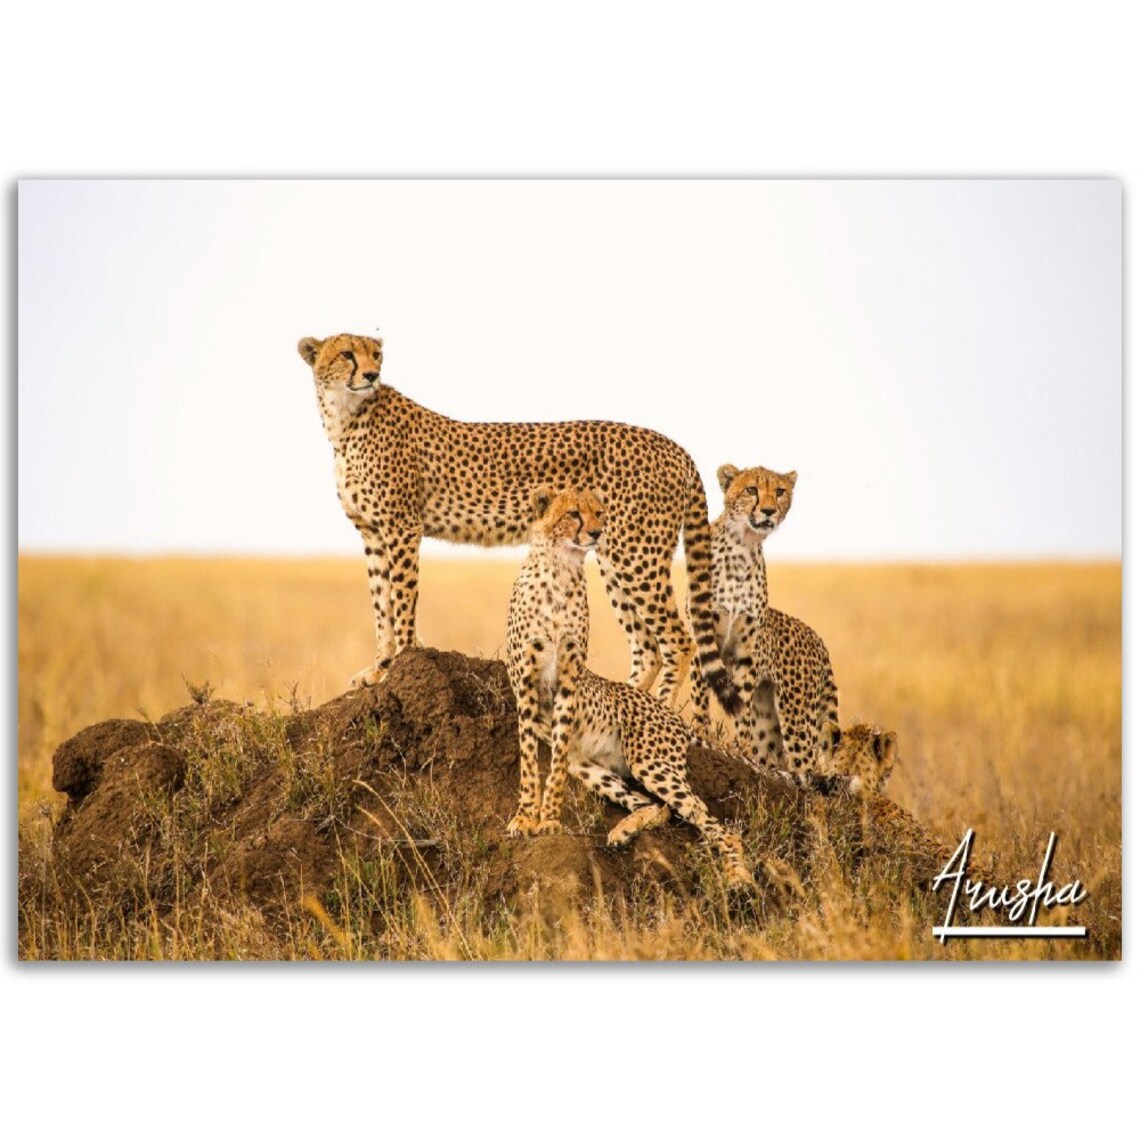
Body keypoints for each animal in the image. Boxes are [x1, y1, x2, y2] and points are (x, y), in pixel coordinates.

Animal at [297, 333, 739, 715]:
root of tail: (674, 446)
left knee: (679, 640)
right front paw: (379, 668)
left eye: (376, 355)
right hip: (612, 553)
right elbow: (381, 604)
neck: (345, 418)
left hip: (635, 555)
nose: (372, 375)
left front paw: (400, 662)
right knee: (647, 647)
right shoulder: (372, 532)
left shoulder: (401, 526)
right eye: (347, 354)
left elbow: (402, 600)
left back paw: (657, 709)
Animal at [505, 486, 754, 888]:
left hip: (651, 763)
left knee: (714, 823)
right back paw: (623, 831)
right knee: (659, 806)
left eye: (599, 512)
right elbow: (529, 759)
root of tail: (669, 714)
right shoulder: (526, 683)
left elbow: (553, 766)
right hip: (590, 767)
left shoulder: (568, 681)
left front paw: (550, 820)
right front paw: (526, 818)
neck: (560, 569)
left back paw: (738, 877)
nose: (597, 533)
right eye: (573, 514)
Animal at [690, 462, 839, 783]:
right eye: (751, 489)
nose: (769, 510)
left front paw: (739, 748)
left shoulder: (746, 651)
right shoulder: (701, 637)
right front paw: (699, 733)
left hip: (797, 715)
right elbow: (700, 697)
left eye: (780, 491)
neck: (743, 546)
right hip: (771, 719)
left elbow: (741, 706)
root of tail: (818, 638)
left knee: (806, 764)